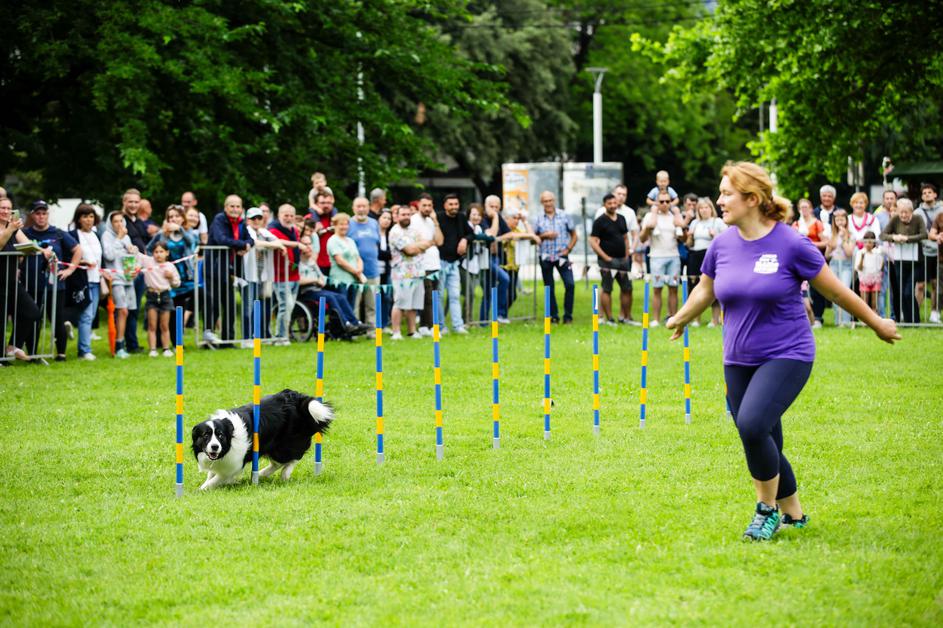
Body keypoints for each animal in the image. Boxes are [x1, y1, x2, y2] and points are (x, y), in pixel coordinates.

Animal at [191, 388, 333, 490]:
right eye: (205, 435)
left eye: (220, 435)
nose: (215, 447)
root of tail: (296, 399)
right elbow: (211, 474)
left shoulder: (233, 465)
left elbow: (216, 479)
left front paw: (201, 490)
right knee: (277, 463)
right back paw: (261, 474)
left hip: (285, 446)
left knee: (293, 457)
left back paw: (284, 473)